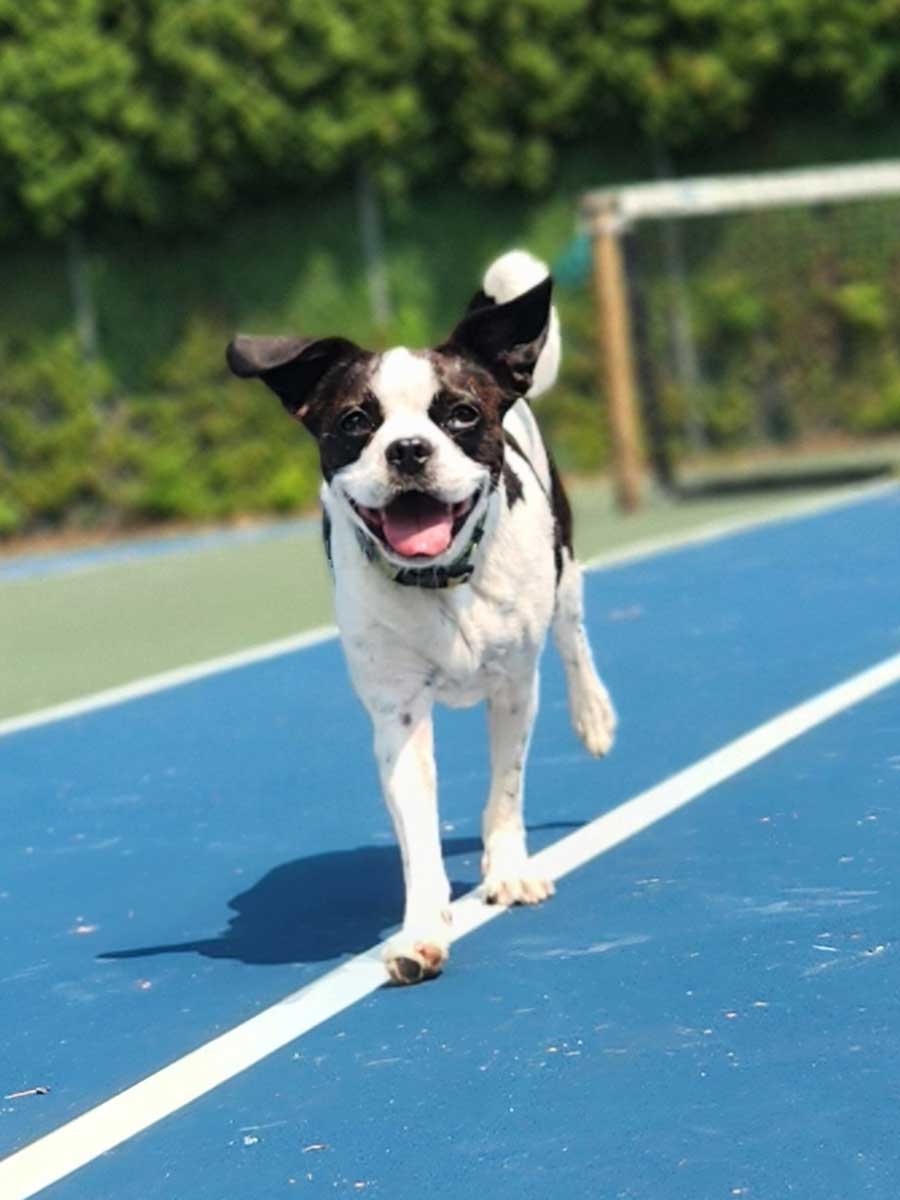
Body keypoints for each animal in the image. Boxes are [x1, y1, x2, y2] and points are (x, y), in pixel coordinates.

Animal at [229, 248, 619, 979]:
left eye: (460, 414)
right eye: (356, 421)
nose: (408, 448)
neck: (441, 580)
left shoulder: (514, 688)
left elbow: (505, 790)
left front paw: (510, 870)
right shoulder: (398, 714)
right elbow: (418, 835)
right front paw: (420, 932)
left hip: (566, 568)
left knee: (574, 635)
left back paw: (594, 716)